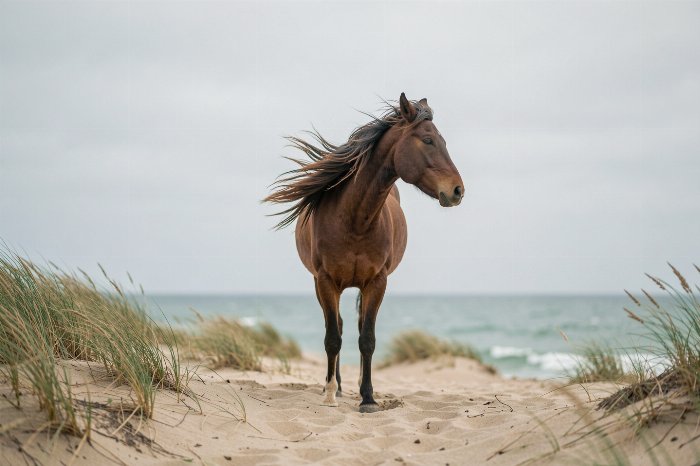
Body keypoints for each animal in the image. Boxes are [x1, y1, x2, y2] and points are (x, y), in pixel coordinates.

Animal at [265, 93, 464, 413]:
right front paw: (330, 393)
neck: (355, 219)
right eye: (428, 140)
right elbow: (333, 338)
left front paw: (368, 398)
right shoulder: (325, 281)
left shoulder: (376, 282)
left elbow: (367, 339)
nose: (458, 190)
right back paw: (336, 386)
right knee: (339, 328)